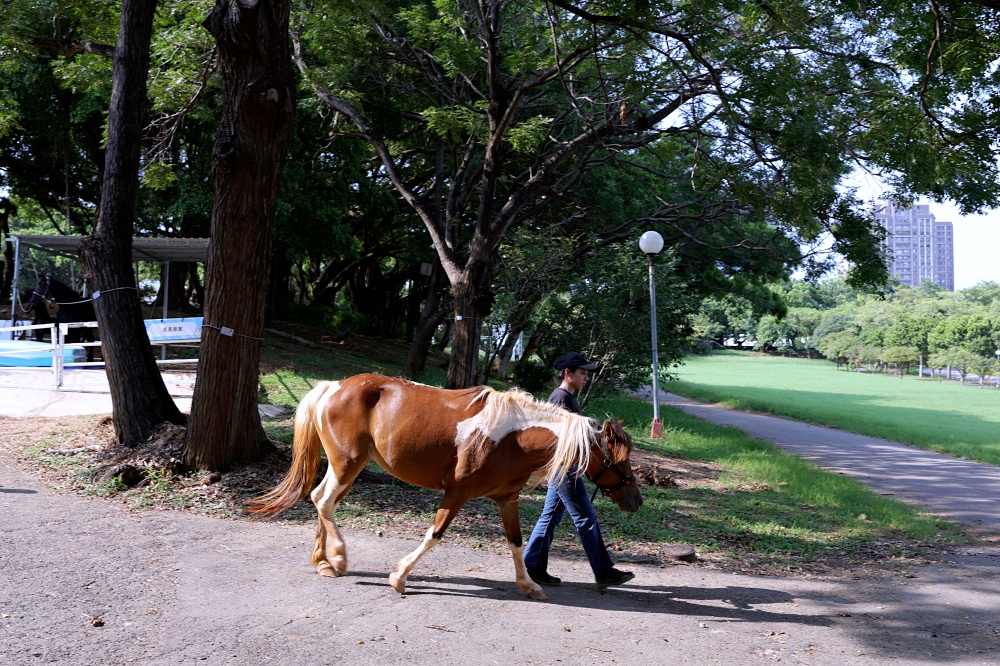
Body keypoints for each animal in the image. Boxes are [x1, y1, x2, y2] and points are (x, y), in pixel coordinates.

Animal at [246, 374, 644, 596]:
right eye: (619, 461)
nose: (635, 500)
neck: (514, 438)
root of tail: (335, 387)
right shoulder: (458, 492)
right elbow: (433, 535)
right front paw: (399, 577)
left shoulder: (506, 500)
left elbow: (516, 543)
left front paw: (529, 585)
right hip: (348, 464)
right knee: (324, 501)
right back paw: (340, 557)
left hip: (347, 466)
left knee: (321, 499)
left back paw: (324, 562)